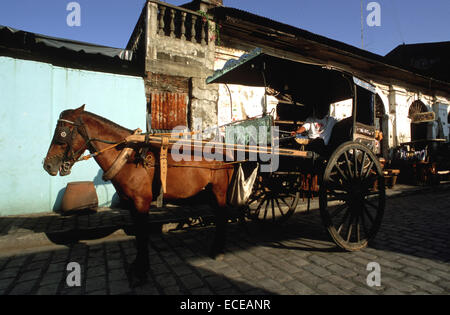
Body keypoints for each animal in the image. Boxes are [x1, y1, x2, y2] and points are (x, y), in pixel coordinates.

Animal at [43, 105, 234, 286]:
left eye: (63, 133)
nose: (47, 165)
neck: (129, 156)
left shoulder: (142, 202)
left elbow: (142, 235)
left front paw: (141, 272)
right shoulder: (132, 205)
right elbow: (137, 235)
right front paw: (137, 267)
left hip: (219, 190)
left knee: (223, 216)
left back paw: (218, 250)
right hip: (210, 192)